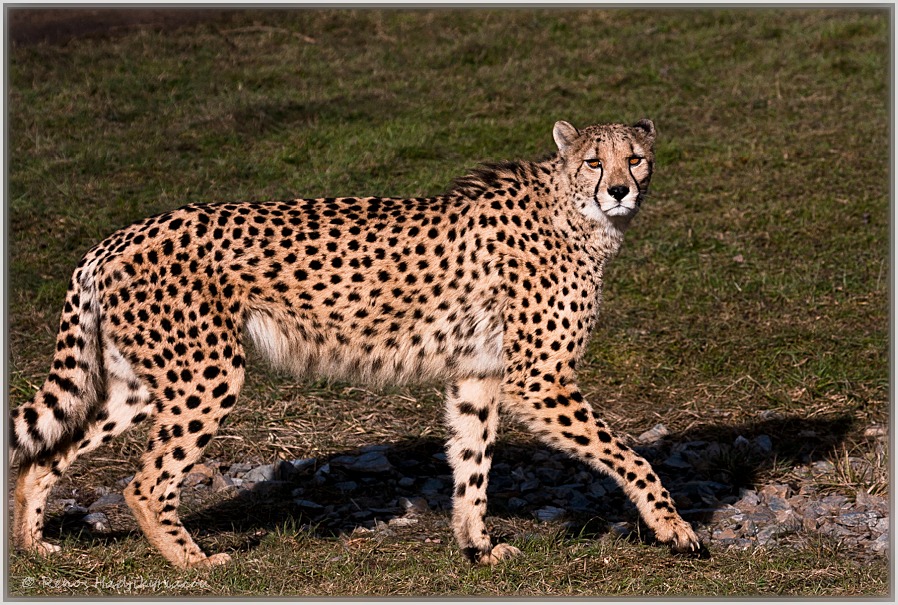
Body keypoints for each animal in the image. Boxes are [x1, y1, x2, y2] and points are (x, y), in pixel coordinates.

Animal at [10, 118, 703, 568]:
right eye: (594, 161)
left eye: (636, 158)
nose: (620, 189)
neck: (575, 212)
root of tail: (120, 235)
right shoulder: (540, 379)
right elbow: (628, 456)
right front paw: (673, 527)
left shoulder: (479, 375)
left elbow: (472, 462)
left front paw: (476, 546)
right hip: (207, 373)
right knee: (145, 483)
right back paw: (195, 564)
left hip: (137, 384)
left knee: (46, 454)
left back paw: (35, 543)